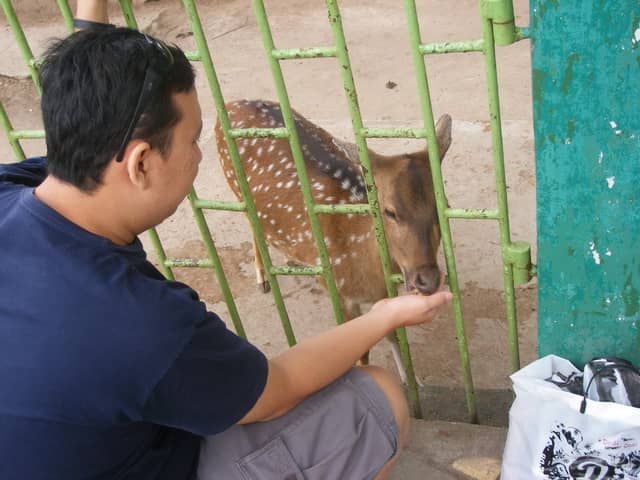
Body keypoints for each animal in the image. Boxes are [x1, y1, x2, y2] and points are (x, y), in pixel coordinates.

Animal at [215, 101, 450, 382]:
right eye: (389, 211)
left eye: (442, 207)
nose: (427, 279)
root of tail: (230, 105)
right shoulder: (340, 292)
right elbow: (362, 352)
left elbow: (391, 332)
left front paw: (410, 380)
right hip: (235, 186)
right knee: (250, 223)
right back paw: (262, 276)